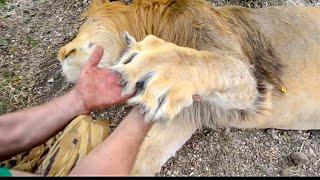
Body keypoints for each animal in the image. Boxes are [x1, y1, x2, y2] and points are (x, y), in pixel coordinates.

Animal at [57, 0, 320, 175]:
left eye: (84, 23)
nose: (61, 54)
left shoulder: (254, 86)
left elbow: (207, 61)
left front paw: (158, 62)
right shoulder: (186, 114)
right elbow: (141, 157)